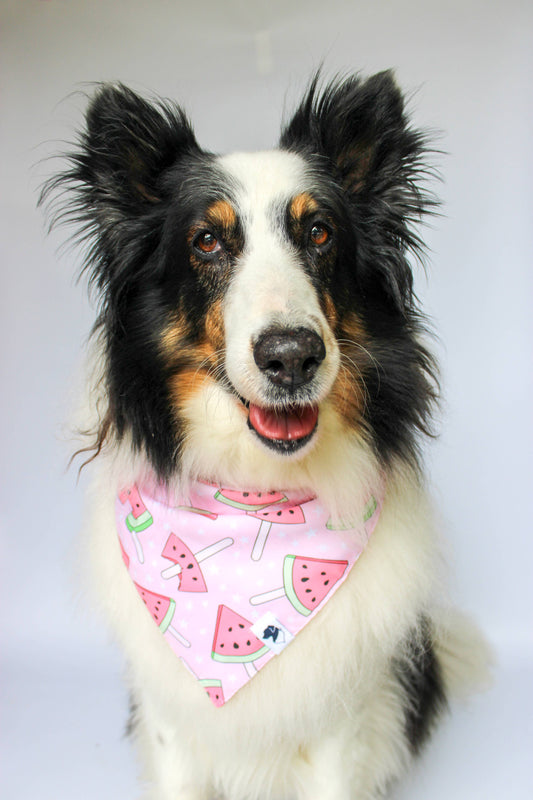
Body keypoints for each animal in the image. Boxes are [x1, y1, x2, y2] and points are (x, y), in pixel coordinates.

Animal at [43, 72, 488, 796]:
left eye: (319, 232)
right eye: (206, 241)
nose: (292, 357)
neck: (255, 491)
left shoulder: (342, 717)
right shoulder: (171, 718)